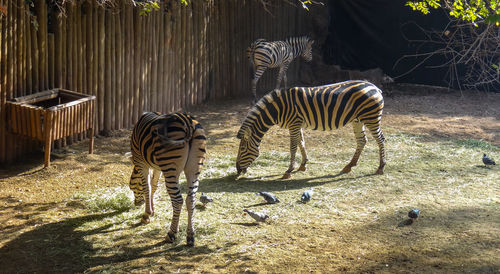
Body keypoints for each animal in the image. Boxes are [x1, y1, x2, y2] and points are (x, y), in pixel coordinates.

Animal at [130, 111, 208, 246]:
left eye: (131, 187)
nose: (137, 204)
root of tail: (188, 121)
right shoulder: (157, 167)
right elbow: (154, 185)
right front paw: (152, 210)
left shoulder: (141, 161)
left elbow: (147, 187)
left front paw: (147, 214)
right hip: (194, 169)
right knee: (191, 199)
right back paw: (190, 236)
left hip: (171, 169)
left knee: (178, 200)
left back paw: (171, 234)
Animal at [235, 79, 386, 178]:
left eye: (242, 149)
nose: (237, 170)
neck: (278, 109)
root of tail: (374, 86)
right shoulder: (297, 124)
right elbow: (301, 143)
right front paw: (303, 165)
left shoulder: (294, 123)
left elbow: (293, 146)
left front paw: (289, 170)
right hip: (358, 120)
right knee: (362, 140)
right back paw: (349, 165)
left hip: (371, 118)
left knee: (381, 140)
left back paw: (381, 167)